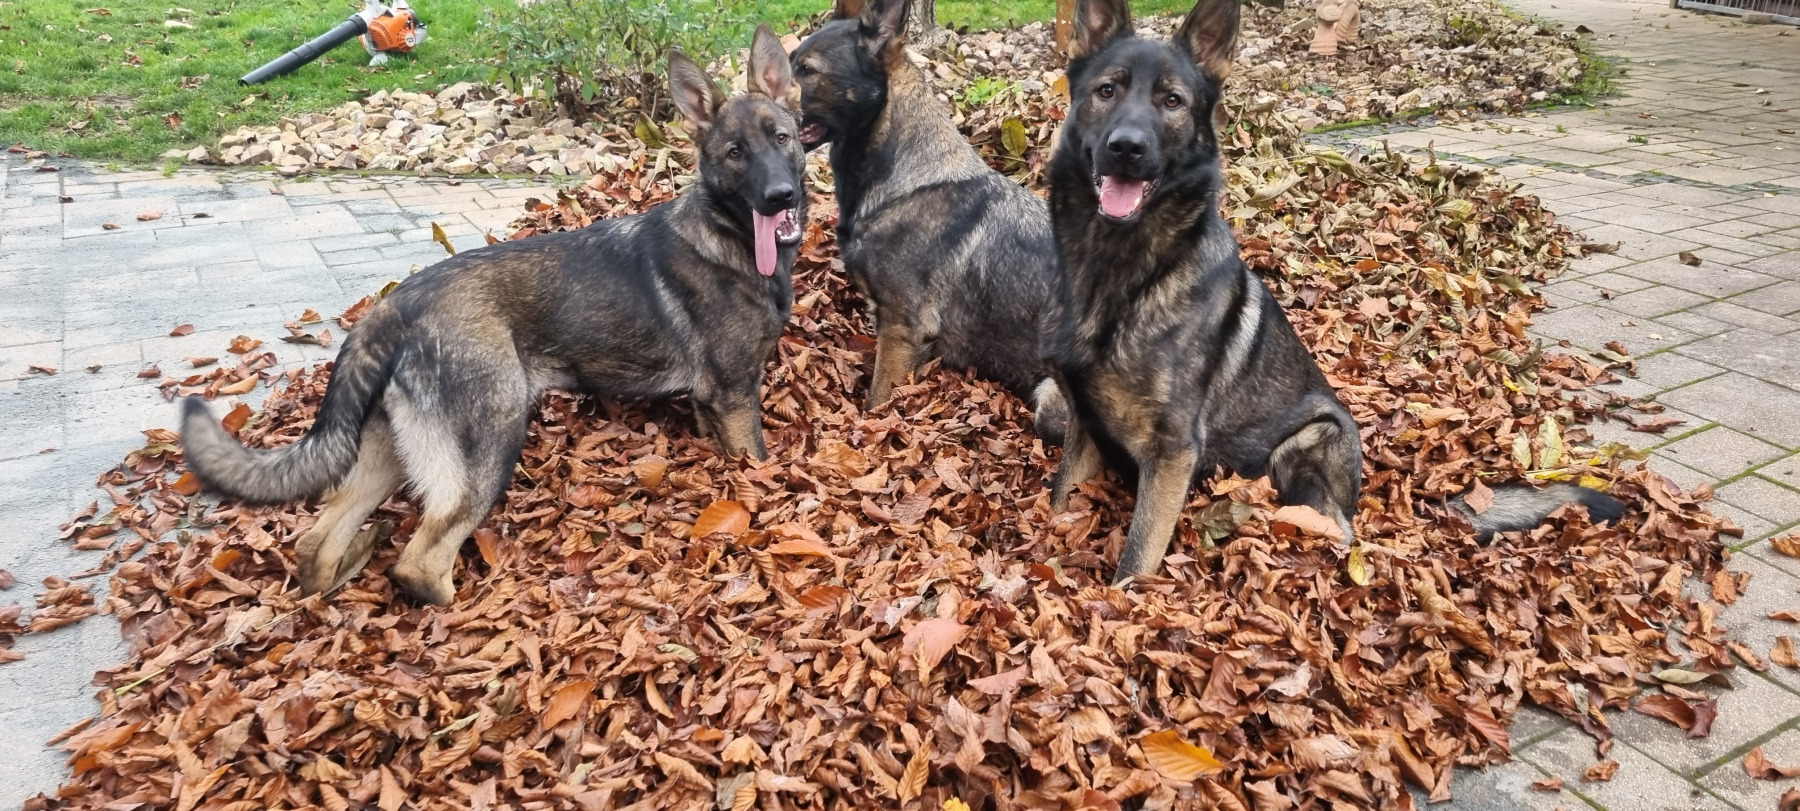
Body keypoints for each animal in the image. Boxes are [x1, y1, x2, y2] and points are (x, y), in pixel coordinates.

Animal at [178, 28, 808, 605]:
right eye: (734, 153)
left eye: (782, 139)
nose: (781, 196)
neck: (728, 234)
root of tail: (394, 306)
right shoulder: (732, 397)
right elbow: (756, 465)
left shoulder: (709, 404)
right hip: (492, 439)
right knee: (421, 561)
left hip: (388, 452)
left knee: (318, 542)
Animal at [1043, 0, 1623, 584]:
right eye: (1107, 90)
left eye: (1171, 101)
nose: (1126, 148)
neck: (1120, 270)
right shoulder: (1084, 429)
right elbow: (1060, 504)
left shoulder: (1172, 452)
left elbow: (1137, 558)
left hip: (1306, 443)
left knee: (1338, 534)